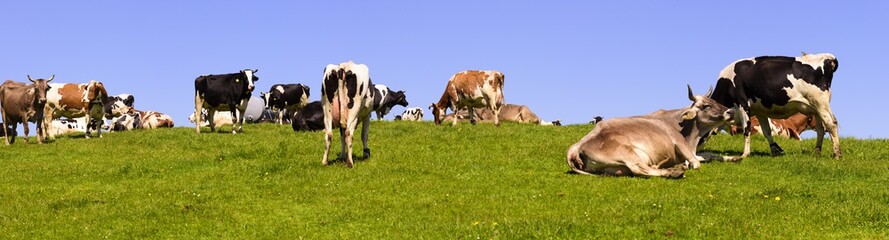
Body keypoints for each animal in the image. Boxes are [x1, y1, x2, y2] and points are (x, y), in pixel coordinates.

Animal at [564, 86, 732, 178]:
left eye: (715, 101)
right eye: (706, 105)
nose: (730, 111)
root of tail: (577, 147)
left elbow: (710, 155)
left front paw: (732, 158)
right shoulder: (679, 144)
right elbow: (696, 163)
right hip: (629, 154)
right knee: (641, 169)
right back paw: (674, 172)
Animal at [708, 52, 840, 159]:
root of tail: (828, 58)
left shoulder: (742, 104)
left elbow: (746, 129)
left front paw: (745, 154)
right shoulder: (759, 111)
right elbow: (767, 132)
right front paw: (774, 151)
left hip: (820, 103)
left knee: (831, 123)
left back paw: (837, 154)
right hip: (815, 107)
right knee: (821, 129)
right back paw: (817, 153)